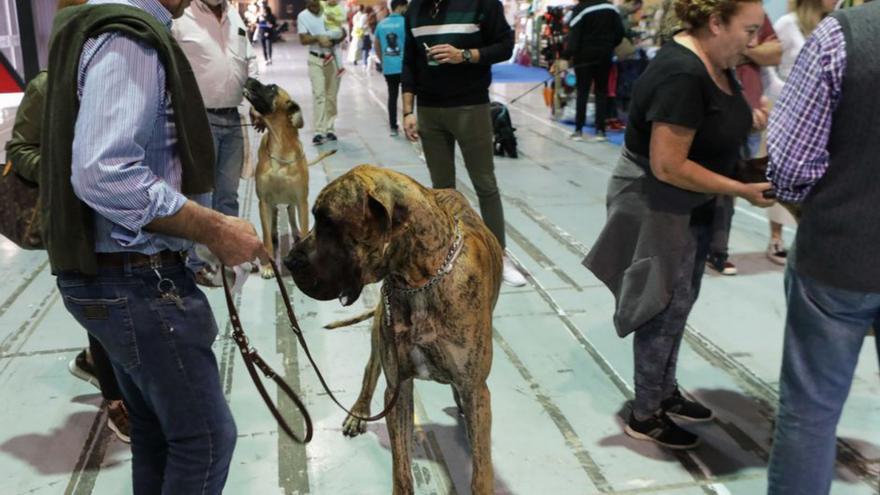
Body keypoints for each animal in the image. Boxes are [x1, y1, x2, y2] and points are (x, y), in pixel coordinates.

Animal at [244, 78, 334, 280]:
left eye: (272, 88)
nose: (248, 78)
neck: (280, 147)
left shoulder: (302, 201)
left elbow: (304, 224)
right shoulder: (263, 201)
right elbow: (266, 237)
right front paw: (267, 266)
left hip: (294, 201)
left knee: (291, 214)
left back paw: (295, 232)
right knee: (275, 216)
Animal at [284, 168, 502, 495]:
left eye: (328, 222)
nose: (288, 260)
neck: (420, 280)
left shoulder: (477, 390)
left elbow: (481, 467)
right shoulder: (397, 388)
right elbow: (401, 467)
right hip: (379, 334)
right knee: (369, 371)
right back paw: (359, 412)